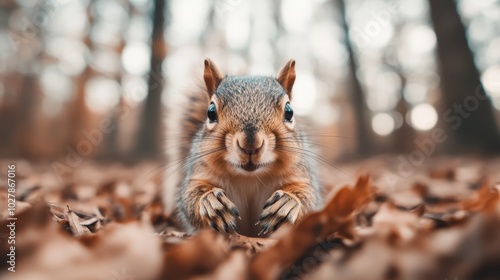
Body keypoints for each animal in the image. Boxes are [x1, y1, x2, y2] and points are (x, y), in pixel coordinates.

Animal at [162, 59, 322, 236]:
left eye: (289, 111)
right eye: (210, 112)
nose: (250, 145)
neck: (250, 177)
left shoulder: (300, 173)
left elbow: (309, 199)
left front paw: (288, 202)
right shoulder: (199, 172)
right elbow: (189, 198)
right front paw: (210, 201)